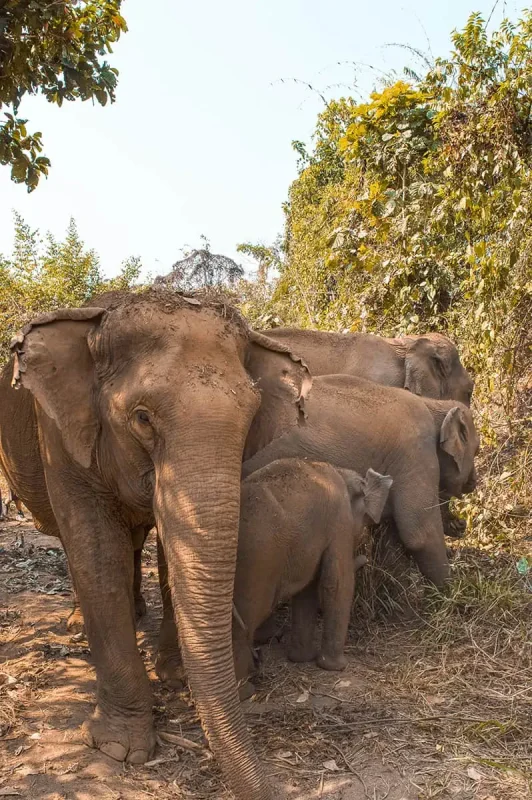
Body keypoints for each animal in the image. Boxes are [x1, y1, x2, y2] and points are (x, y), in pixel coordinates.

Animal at [0, 289, 312, 800]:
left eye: (251, 418)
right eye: (142, 418)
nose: (251, 680)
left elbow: (171, 548)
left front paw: (176, 676)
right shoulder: (60, 438)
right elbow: (95, 551)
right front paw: (119, 749)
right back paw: (79, 626)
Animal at [230, 459, 392, 695]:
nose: (366, 559)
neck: (341, 472)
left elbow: (307, 590)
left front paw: (301, 659)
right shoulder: (339, 521)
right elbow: (337, 583)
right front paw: (336, 667)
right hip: (256, 561)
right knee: (245, 619)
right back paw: (245, 693)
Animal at [242, 374, 479, 587]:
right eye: (476, 451)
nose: (462, 524)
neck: (434, 404)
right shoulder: (416, 452)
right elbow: (419, 533)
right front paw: (451, 591)